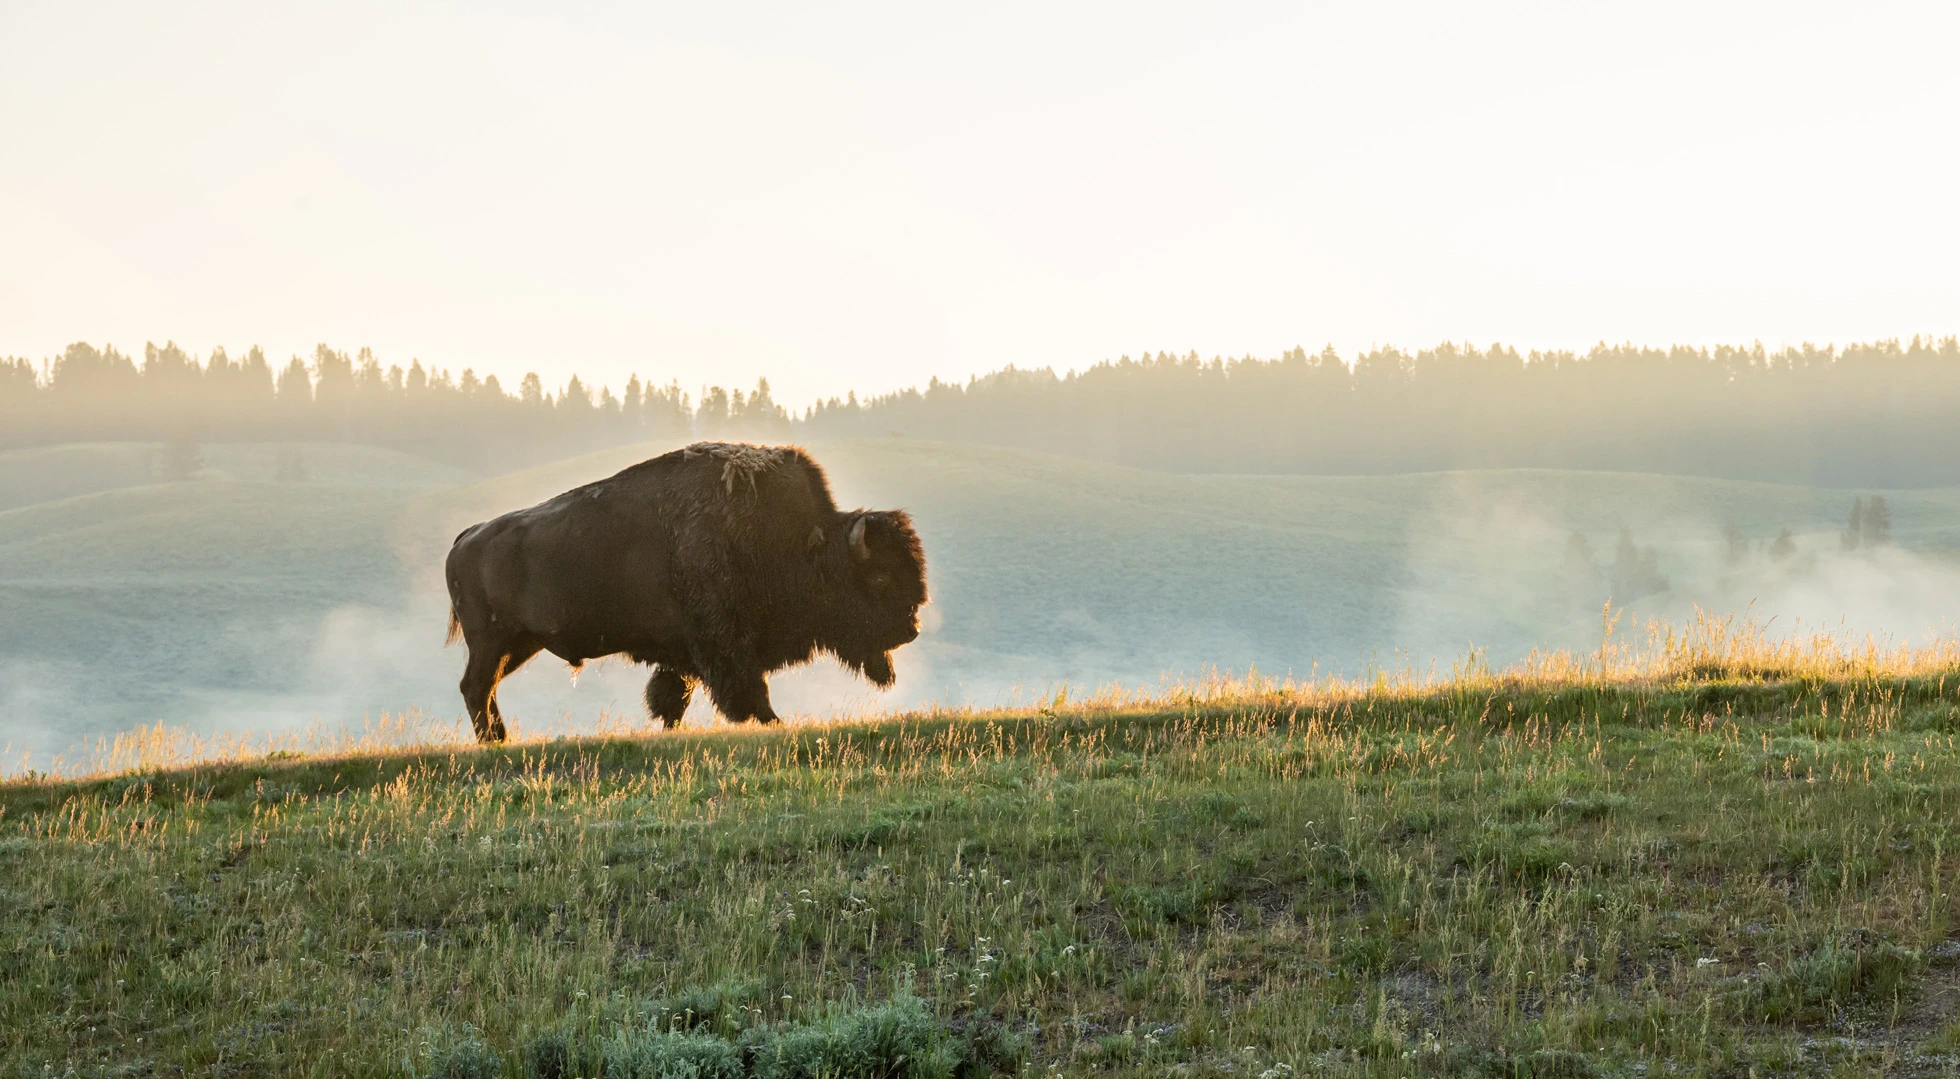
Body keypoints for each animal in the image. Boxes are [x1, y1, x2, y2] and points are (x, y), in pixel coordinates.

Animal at [443, 442, 928, 742]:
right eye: (879, 578)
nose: (911, 630)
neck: (803, 541)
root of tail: (465, 537)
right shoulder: (724, 643)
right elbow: (746, 690)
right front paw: (772, 722)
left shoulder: (684, 654)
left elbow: (671, 696)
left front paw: (670, 729)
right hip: (491, 641)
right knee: (475, 686)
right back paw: (494, 741)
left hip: (521, 643)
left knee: (485, 687)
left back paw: (501, 737)